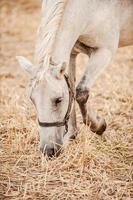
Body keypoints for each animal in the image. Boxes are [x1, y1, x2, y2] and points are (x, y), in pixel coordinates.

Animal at [16, 0, 133, 158]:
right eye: (32, 100)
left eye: (58, 100)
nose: (48, 150)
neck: (88, 8)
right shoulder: (72, 52)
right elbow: (71, 88)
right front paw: (72, 135)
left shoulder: (104, 51)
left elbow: (81, 92)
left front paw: (99, 126)